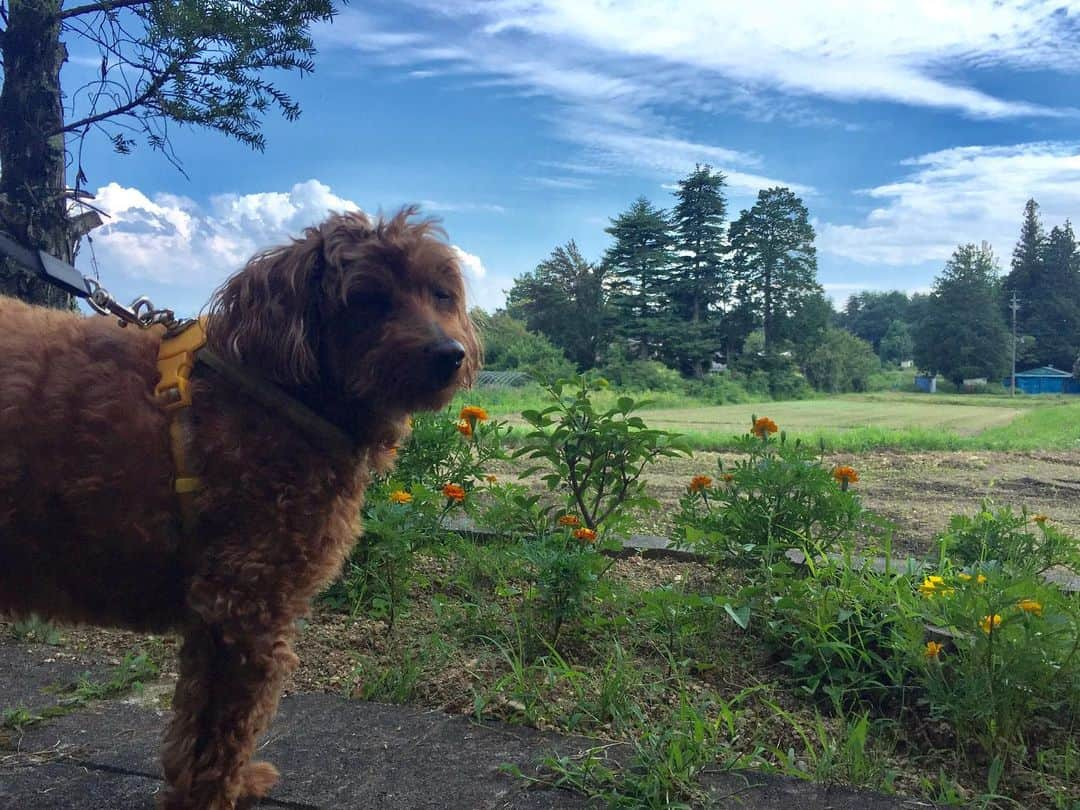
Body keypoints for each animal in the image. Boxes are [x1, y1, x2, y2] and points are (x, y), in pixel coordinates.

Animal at [0, 210, 481, 810]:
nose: (449, 355)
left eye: (441, 294)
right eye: (368, 298)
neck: (280, 390)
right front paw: (211, 798)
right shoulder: (246, 605)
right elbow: (221, 732)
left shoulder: (220, 615)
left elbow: (196, 729)